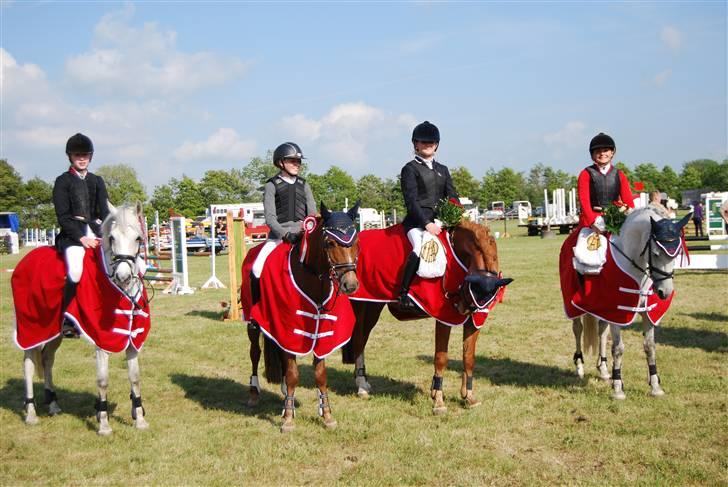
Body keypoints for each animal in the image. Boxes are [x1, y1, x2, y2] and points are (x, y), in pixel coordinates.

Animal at [243, 202, 360, 430]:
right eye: (330, 242)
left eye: (356, 242)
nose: (350, 284)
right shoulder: (288, 326)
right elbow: (293, 374)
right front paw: (288, 418)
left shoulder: (320, 332)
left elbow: (320, 375)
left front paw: (327, 415)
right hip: (253, 323)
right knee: (255, 353)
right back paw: (253, 393)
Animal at [342, 221, 510, 416]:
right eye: (471, 288)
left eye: (488, 297)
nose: (462, 308)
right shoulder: (444, 318)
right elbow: (441, 358)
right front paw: (438, 400)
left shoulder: (474, 320)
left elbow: (469, 358)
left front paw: (468, 397)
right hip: (363, 304)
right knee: (359, 341)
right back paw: (361, 386)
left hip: (373, 306)